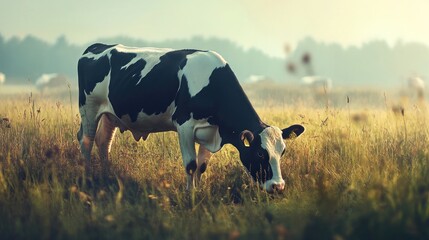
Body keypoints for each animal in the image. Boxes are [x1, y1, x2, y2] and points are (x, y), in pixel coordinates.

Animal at [77, 43, 304, 193]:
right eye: (259, 153)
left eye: (282, 152)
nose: (278, 186)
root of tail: (98, 46)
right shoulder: (184, 124)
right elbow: (191, 165)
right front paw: (190, 195)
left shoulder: (211, 130)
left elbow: (202, 166)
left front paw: (199, 191)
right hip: (89, 108)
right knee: (86, 141)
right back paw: (88, 176)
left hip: (110, 115)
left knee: (103, 142)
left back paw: (106, 175)